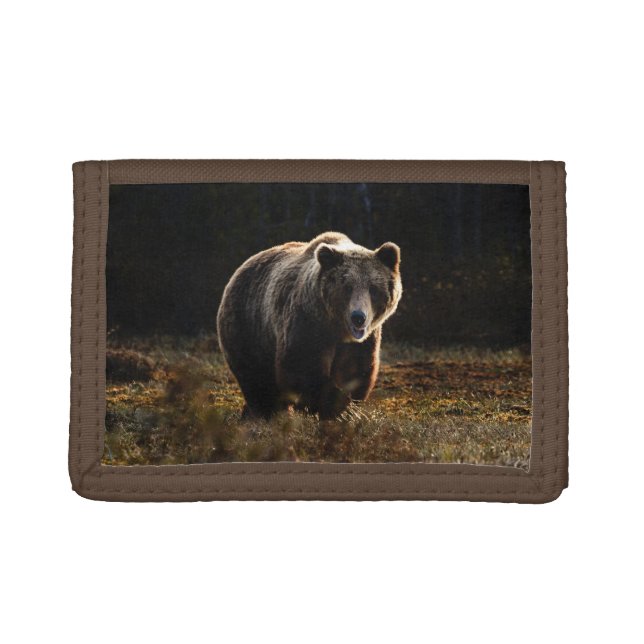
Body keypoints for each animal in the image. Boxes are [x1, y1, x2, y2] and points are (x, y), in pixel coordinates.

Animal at [216, 232, 402, 420]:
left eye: (373, 288)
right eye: (347, 287)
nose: (358, 317)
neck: (336, 328)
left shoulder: (361, 342)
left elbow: (354, 371)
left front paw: (346, 409)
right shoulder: (307, 324)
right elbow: (302, 368)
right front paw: (332, 405)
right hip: (248, 326)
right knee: (256, 378)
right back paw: (266, 412)